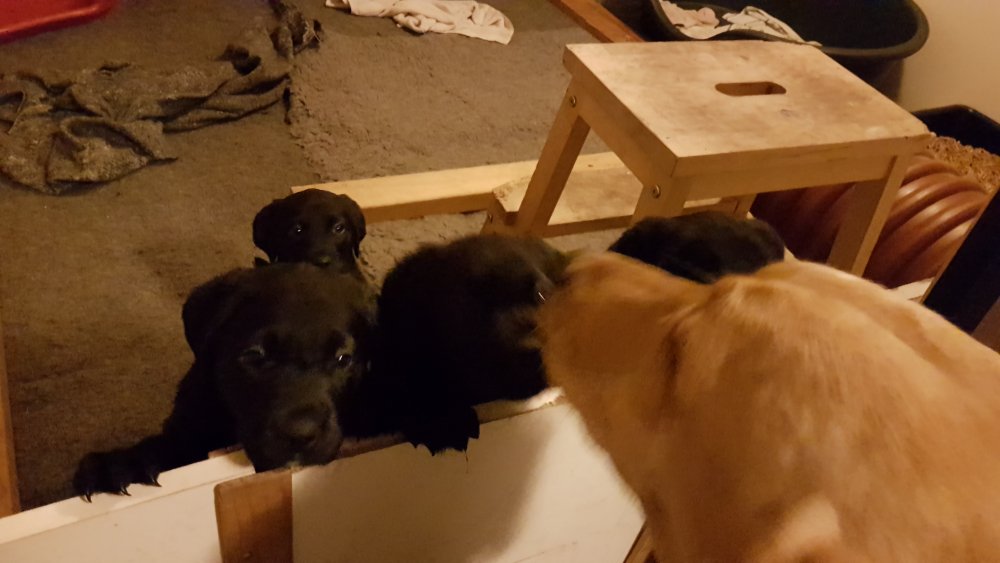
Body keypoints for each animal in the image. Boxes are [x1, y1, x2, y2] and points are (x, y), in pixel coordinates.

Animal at [74, 263, 376, 499]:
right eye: (254, 355)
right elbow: (173, 445)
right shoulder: (188, 425)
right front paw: (121, 464)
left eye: (343, 359)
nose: (300, 434)